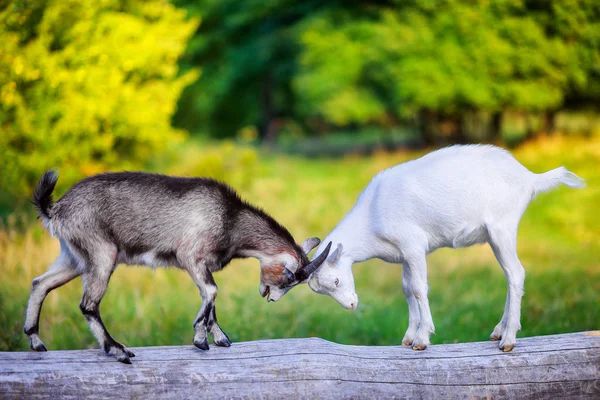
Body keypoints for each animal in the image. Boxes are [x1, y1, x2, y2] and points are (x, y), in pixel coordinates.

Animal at [24, 170, 332, 364]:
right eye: (289, 277)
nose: (271, 298)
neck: (230, 219)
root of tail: (56, 210)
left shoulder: (202, 265)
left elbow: (210, 299)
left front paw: (218, 338)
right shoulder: (190, 256)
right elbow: (212, 291)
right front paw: (200, 337)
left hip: (74, 257)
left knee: (40, 282)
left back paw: (36, 341)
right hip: (101, 252)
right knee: (88, 304)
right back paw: (118, 350)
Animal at [308, 145, 584, 352]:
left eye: (335, 281)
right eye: (321, 291)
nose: (350, 305)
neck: (371, 218)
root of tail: (529, 178)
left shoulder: (413, 245)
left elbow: (419, 289)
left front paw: (422, 339)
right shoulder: (404, 255)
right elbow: (407, 289)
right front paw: (408, 337)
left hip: (502, 227)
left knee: (516, 273)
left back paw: (508, 339)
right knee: (510, 275)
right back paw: (499, 331)